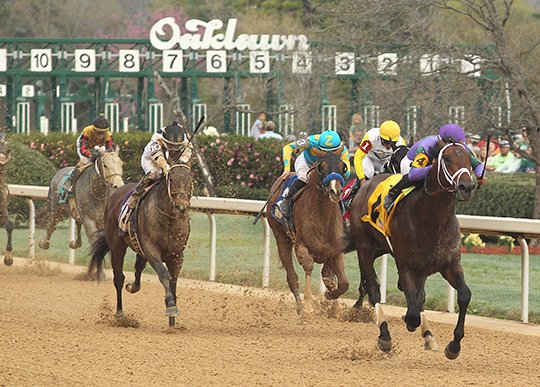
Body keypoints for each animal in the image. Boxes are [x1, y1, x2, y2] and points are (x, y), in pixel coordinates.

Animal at [266, 150, 350, 316]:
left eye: (342, 167)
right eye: (322, 167)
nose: (335, 191)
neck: (323, 218)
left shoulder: (335, 251)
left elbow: (341, 283)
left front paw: (333, 303)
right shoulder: (301, 247)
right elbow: (309, 267)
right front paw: (309, 306)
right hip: (281, 238)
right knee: (292, 277)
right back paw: (300, 307)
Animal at [348, 142, 474, 360]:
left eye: (468, 158)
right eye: (447, 159)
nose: (466, 187)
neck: (432, 219)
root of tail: (367, 184)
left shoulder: (449, 264)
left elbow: (464, 295)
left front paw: (454, 346)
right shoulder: (406, 266)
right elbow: (413, 312)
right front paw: (407, 321)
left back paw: (428, 335)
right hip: (364, 246)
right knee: (374, 289)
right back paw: (384, 335)